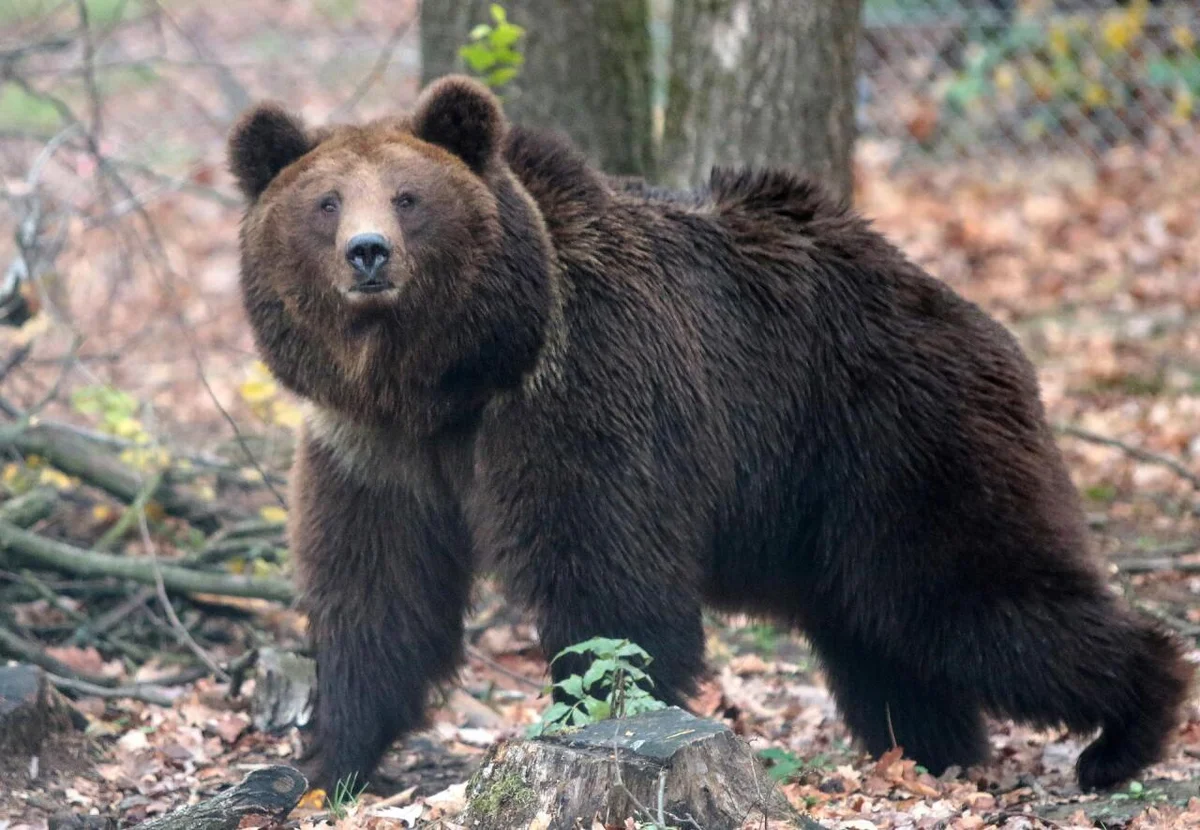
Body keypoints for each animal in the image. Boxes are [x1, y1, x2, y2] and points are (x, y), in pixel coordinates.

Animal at [225, 76, 1190, 791]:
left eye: (409, 196)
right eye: (323, 202)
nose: (369, 253)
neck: (448, 381)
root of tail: (977, 319)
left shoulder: (582, 397)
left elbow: (611, 591)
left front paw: (582, 719)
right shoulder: (371, 451)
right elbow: (377, 598)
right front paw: (323, 762)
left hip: (901, 440)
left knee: (971, 595)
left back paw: (1127, 729)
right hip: (835, 516)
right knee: (884, 636)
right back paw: (929, 749)